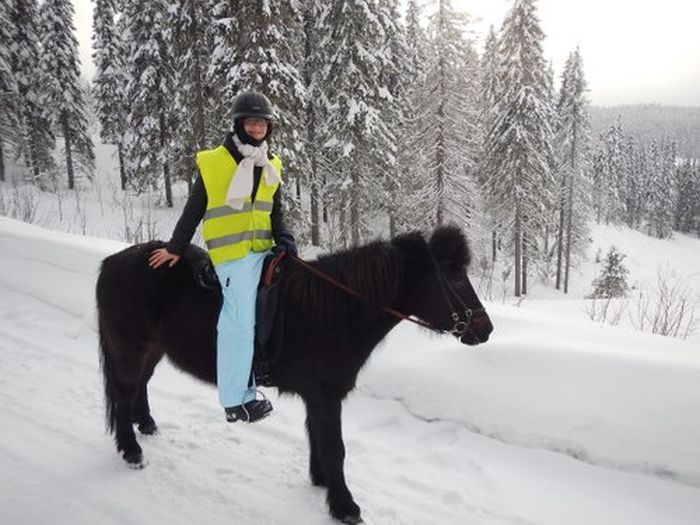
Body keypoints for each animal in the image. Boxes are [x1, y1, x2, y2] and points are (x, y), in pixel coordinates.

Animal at [97, 224, 492, 520]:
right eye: (455, 276)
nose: (485, 328)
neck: (334, 311)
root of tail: (113, 263)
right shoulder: (325, 396)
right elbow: (335, 447)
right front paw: (344, 506)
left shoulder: (317, 398)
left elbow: (317, 438)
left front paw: (321, 481)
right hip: (129, 349)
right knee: (123, 393)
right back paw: (131, 450)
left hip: (152, 349)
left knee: (139, 387)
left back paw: (146, 424)